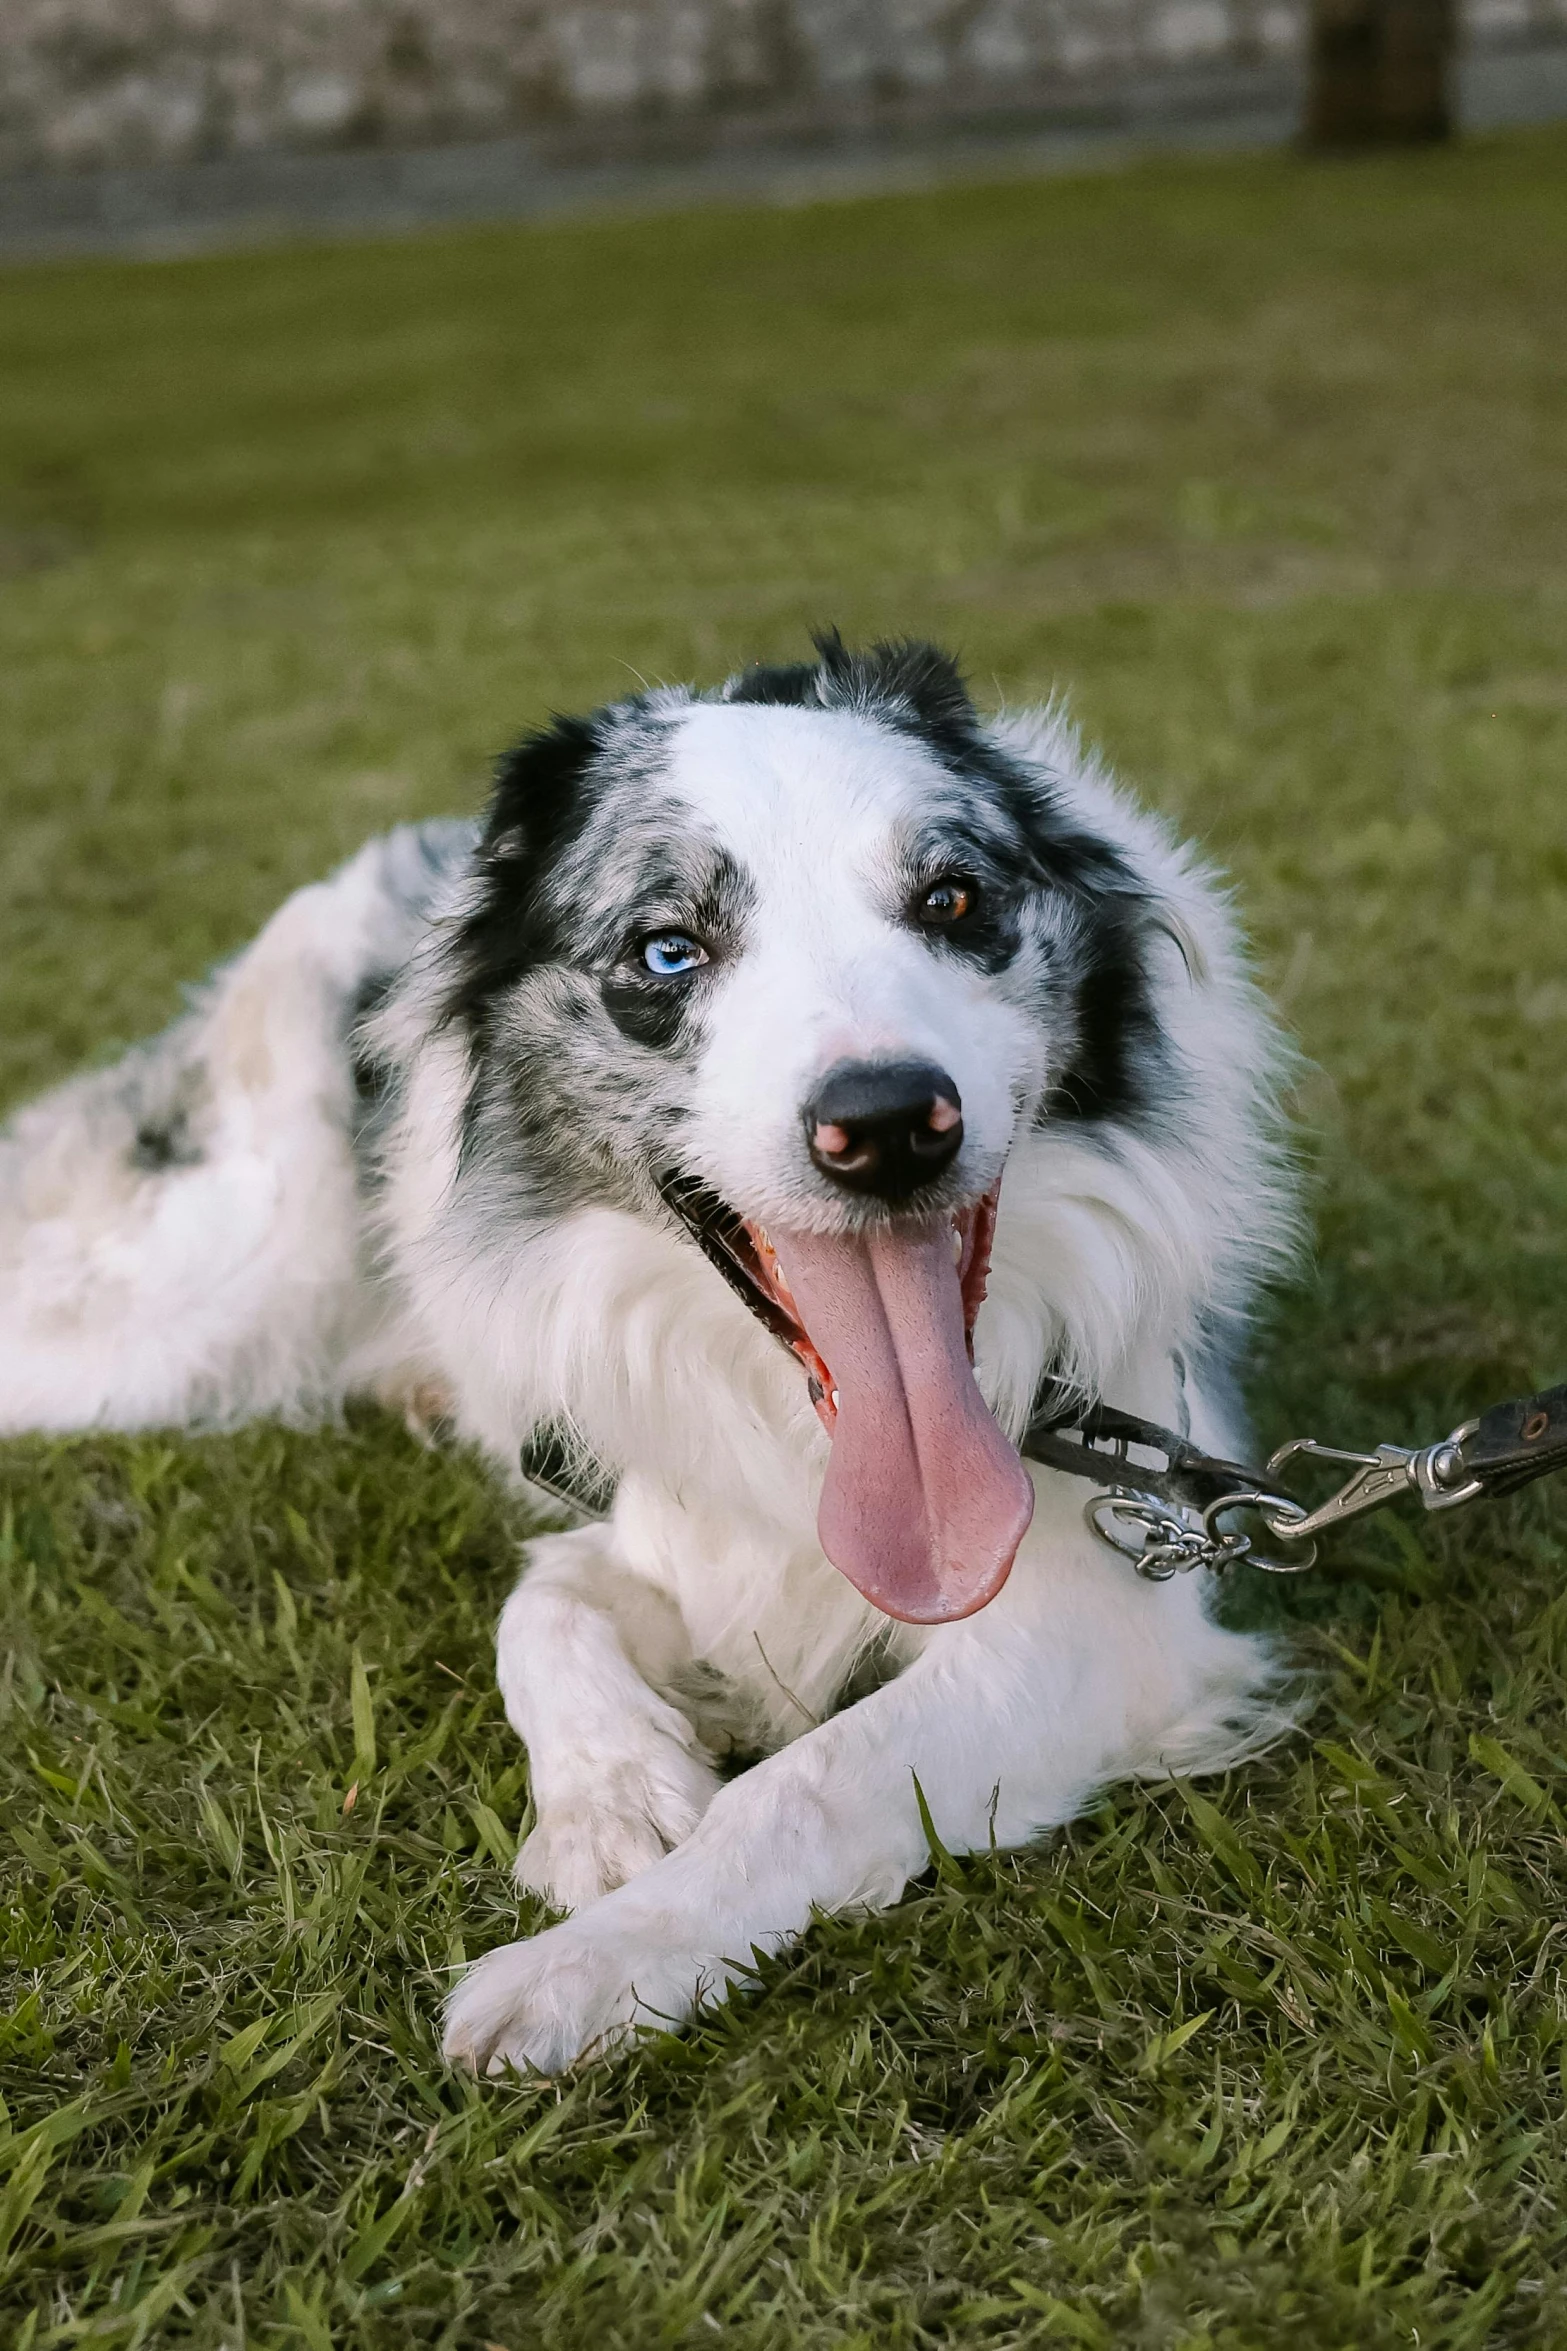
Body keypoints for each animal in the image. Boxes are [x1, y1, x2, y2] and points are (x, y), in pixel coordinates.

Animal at [0, 630, 1296, 2078]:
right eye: (666, 949)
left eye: (952, 899)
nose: (887, 1124)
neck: (806, 1430)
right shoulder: (662, 1504)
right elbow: (541, 1601)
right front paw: (614, 1807)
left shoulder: (1099, 1618)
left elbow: (806, 1778)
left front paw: (584, 1965)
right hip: (204, 1295)